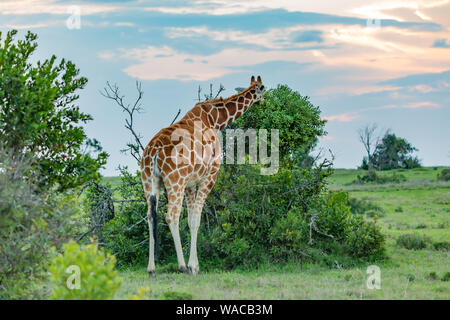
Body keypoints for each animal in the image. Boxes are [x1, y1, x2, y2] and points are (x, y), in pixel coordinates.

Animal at [142, 75, 264, 276]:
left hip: (149, 180)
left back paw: (151, 268)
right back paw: (181, 266)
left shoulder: (190, 183)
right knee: (171, 216)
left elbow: (191, 220)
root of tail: (154, 151)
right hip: (175, 181)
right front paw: (193, 266)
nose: (263, 101)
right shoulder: (209, 176)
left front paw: (195, 264)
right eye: (263, 88)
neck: (216, 120)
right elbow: (196, 219)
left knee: (151, 216)